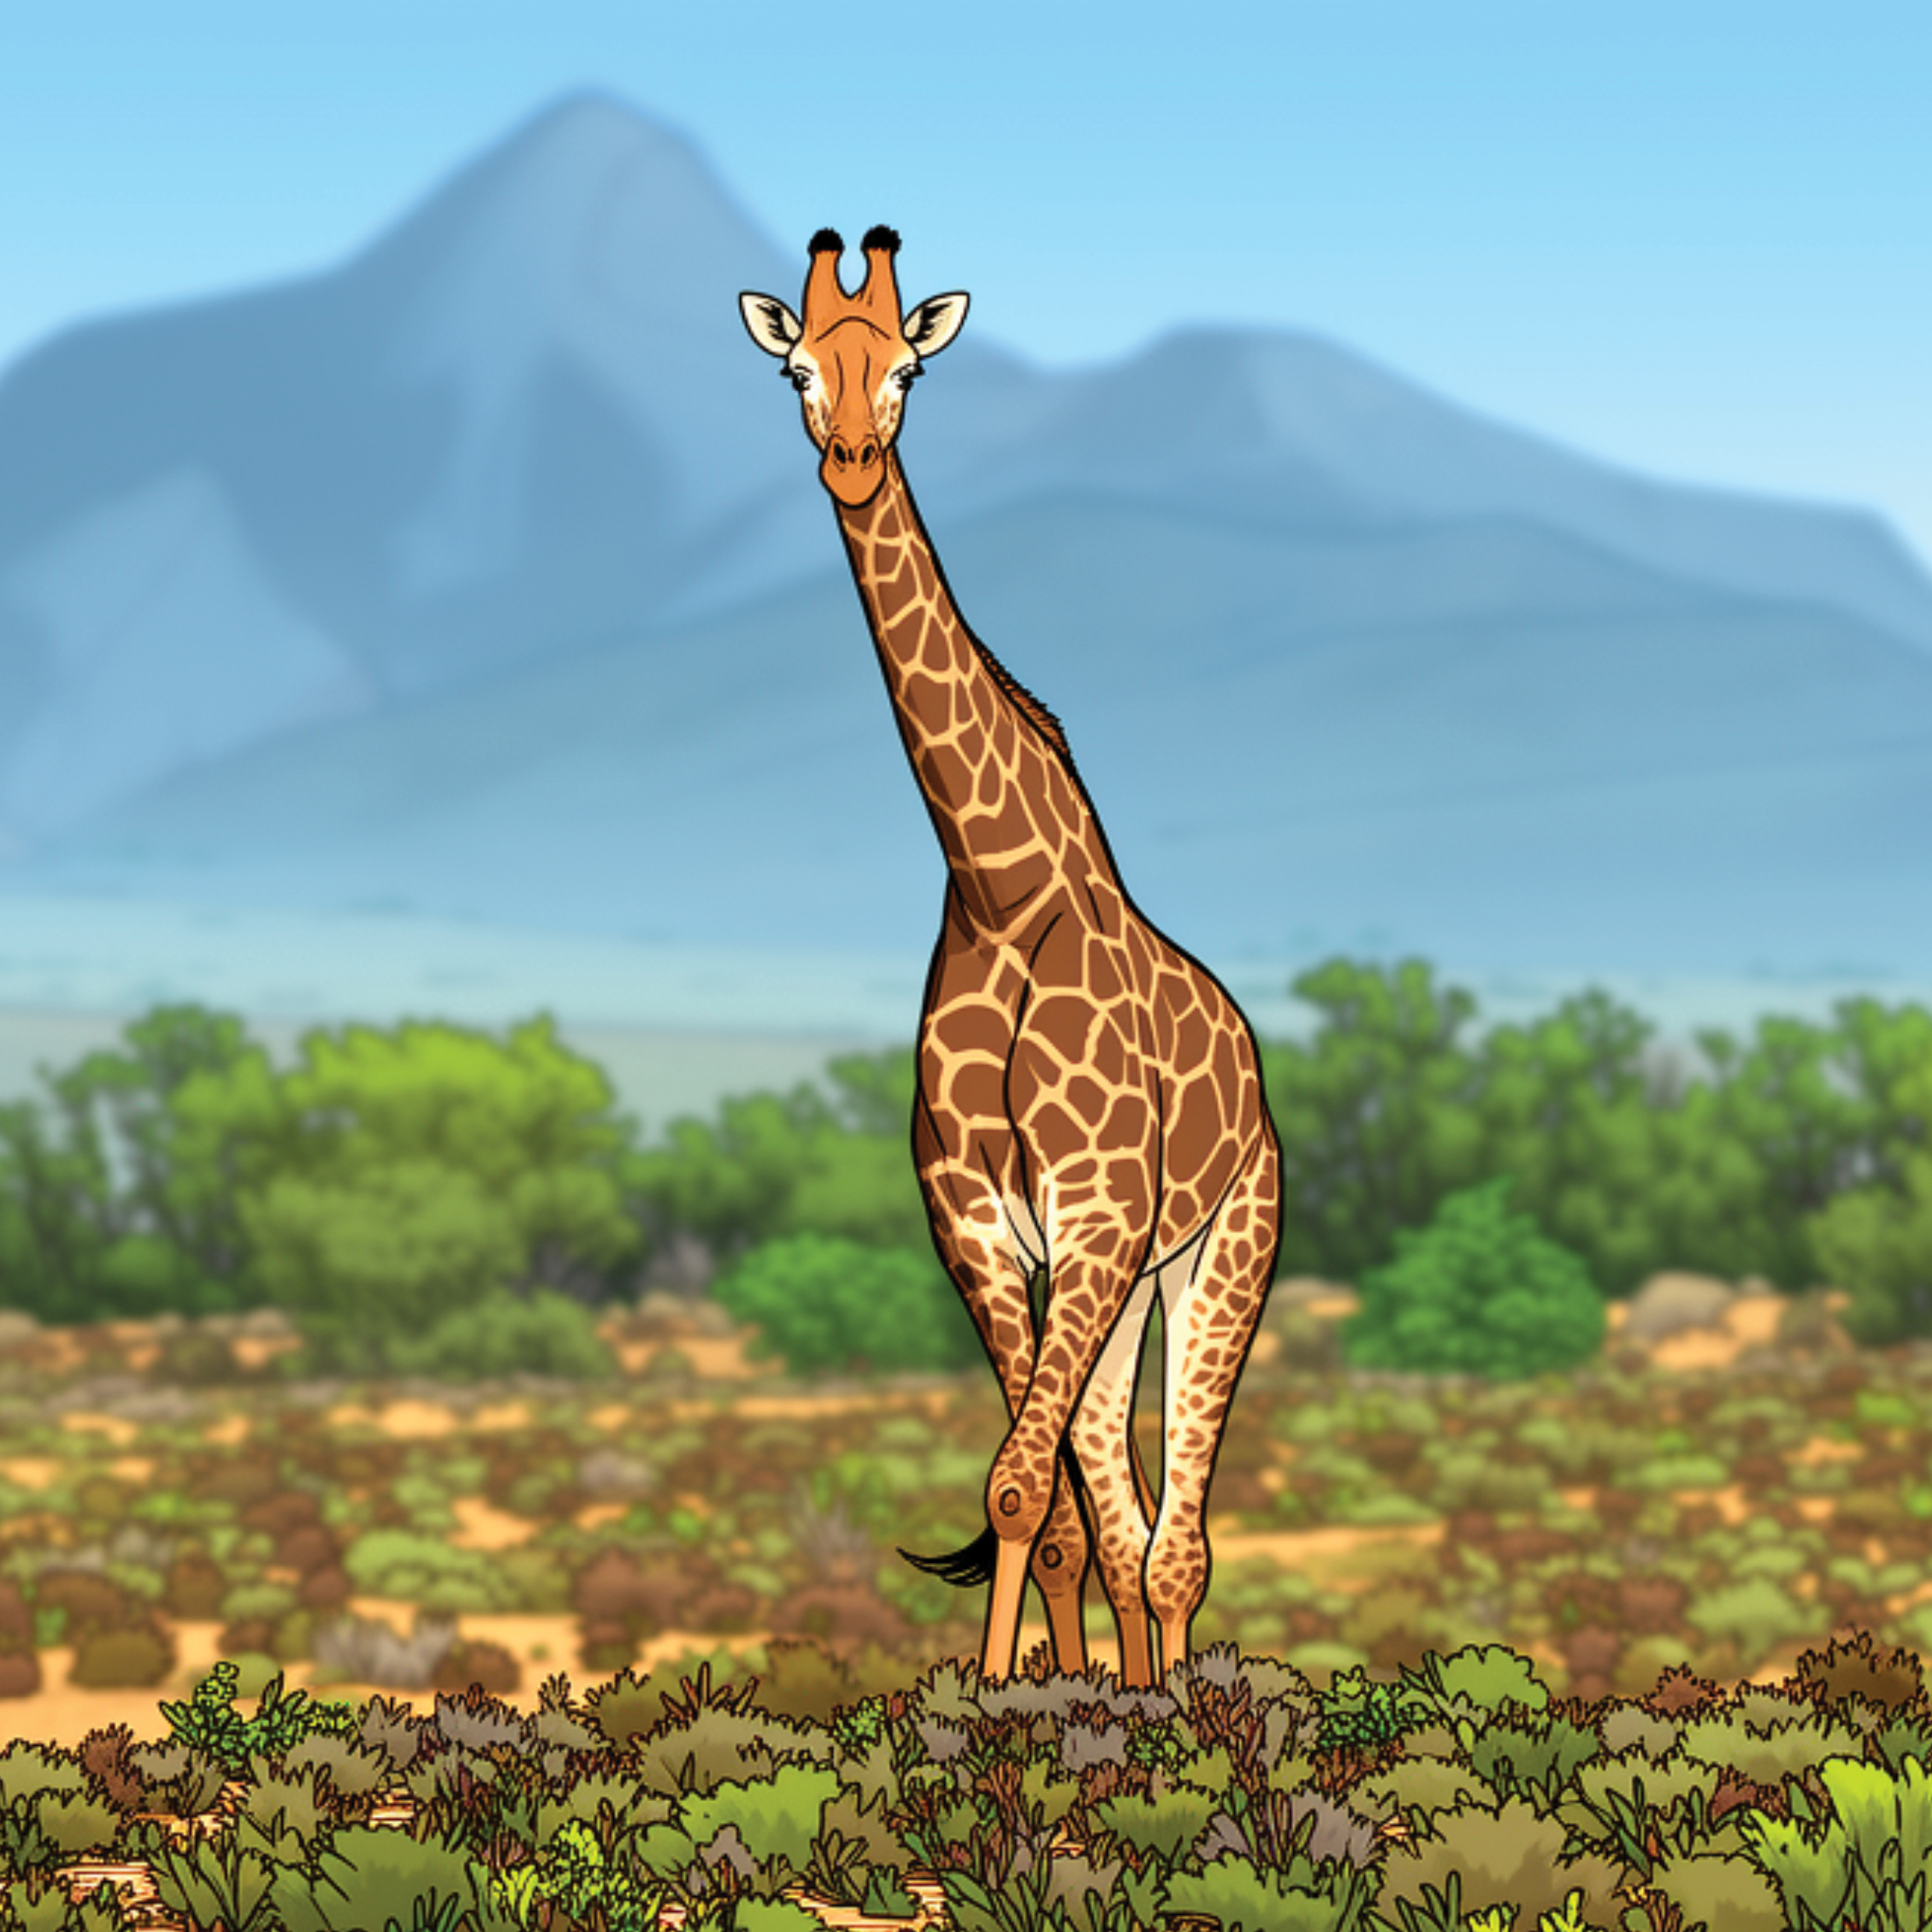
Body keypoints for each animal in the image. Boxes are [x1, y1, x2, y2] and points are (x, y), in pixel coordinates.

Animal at [739, 228, 1281, 1686]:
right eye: (799, 369)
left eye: (910, 369)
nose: (851, 458)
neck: (997, 883)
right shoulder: (979, 1225)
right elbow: (1042, 1511)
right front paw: (1016, 1696)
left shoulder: (1092, 1215)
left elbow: (1028, 1490)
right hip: (1124, 1280)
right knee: (1128, 1512)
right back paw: (1140, 1689)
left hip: (1222, 1247)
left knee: (1180, 1538)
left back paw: (1175, 1702)